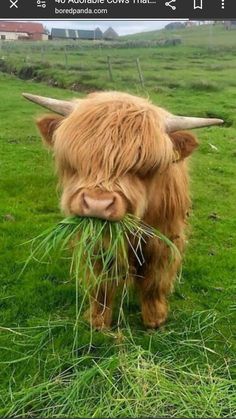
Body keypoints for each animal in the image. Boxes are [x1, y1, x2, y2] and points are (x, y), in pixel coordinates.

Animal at [22, 91, 223, 328]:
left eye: (144, 167)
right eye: (77, 161)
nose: (97, 204)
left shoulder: (164, 238)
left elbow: (155, 279)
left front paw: (155, 318)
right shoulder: (96, 242)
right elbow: (100, 282)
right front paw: (98, 320)